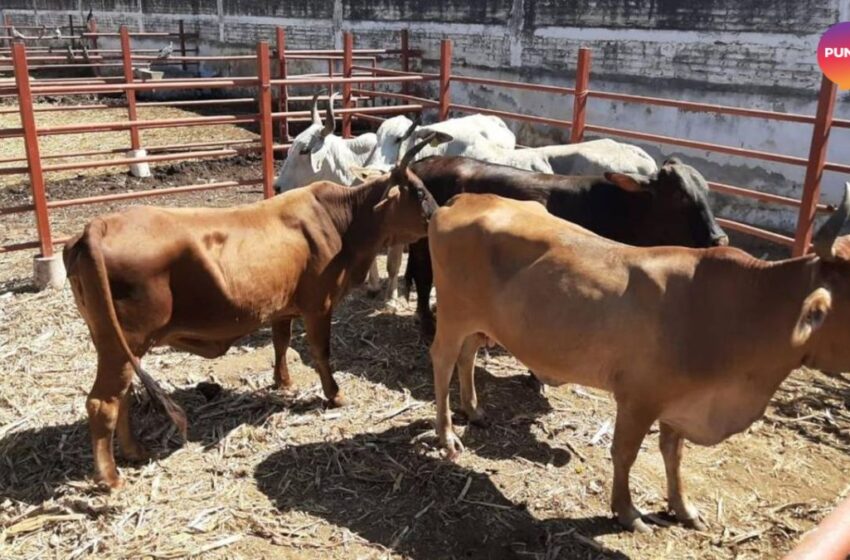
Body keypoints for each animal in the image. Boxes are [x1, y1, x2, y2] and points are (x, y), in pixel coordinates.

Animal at [66, 133, 444, 488]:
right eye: (419, 192)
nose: (439, 215)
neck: (344, 221)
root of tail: (98, 226)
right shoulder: (318, 305)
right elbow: (321, 352)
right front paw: (334, 395)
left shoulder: (282, 307)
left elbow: (281, 342)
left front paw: (283, 383)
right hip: (124, 343)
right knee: (102, 403)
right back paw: (111, 477)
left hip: (116, 344)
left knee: (122, 396)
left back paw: (134, 451)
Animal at [400, 154, 724, 336]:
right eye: (679, 195)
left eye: (707, 191)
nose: (719, 238)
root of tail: (423, 162)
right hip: (422, 246)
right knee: (424, 278)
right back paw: (427, 324)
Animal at [428, 185, 848, 532]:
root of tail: (463, 199)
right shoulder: (639, 398)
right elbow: (625, 453)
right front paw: (628, 513)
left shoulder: (679, 404)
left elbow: (673, 456)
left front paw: (684, 509)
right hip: (452, 315)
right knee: (443, 360)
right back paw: (448, 435)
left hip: (480, 323)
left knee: (467, 355)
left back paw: (475, 410)